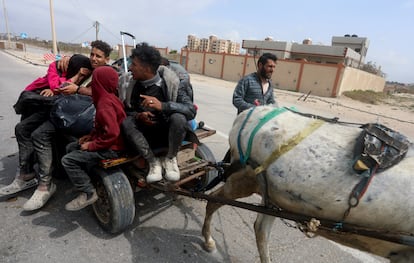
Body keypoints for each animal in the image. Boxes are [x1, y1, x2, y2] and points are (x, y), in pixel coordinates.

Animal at [201, 105, 414, 263]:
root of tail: (247, 113)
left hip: (272, 195)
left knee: (260, 229)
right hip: (244, 179)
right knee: (213, 201)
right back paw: (208, 240)